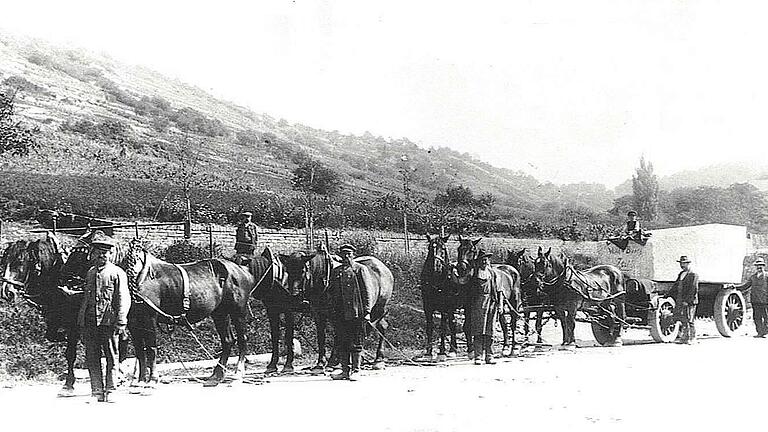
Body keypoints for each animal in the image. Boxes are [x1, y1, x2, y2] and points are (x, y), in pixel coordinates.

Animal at [124, 243, 260, 384]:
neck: (139, 275)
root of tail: (242, 269)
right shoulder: (133, 322)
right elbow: (140, 351)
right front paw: (139, 380)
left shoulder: (149, 318)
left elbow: (151, 349)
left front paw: (153, 379)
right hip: (220, 313)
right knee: (228, 340)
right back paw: (217, 374)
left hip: (238, 311)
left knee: (242, 339)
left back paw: (238, 372)